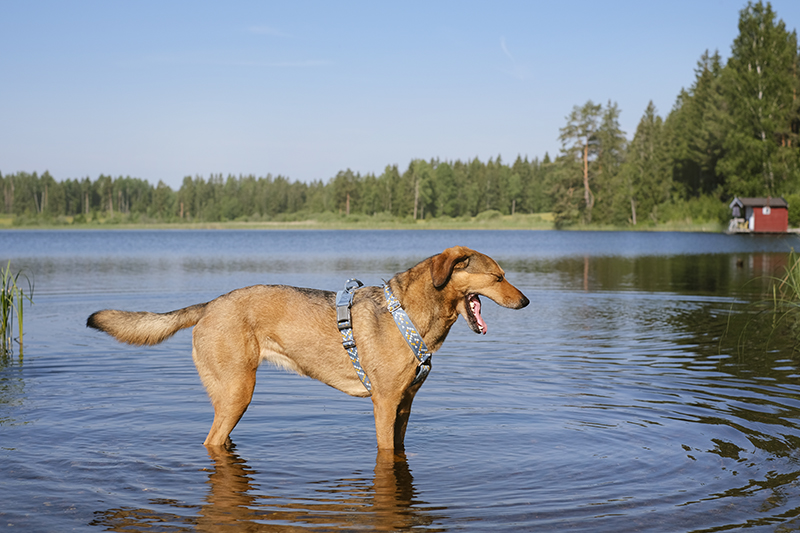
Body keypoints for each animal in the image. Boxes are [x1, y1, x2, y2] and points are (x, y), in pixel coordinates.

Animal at [87, 245, 528, 448]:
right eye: (497, 277)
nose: (525, 302)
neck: (409, 314)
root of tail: (209, 305)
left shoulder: (405, 405)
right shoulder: (384, 403)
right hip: (236, 392)